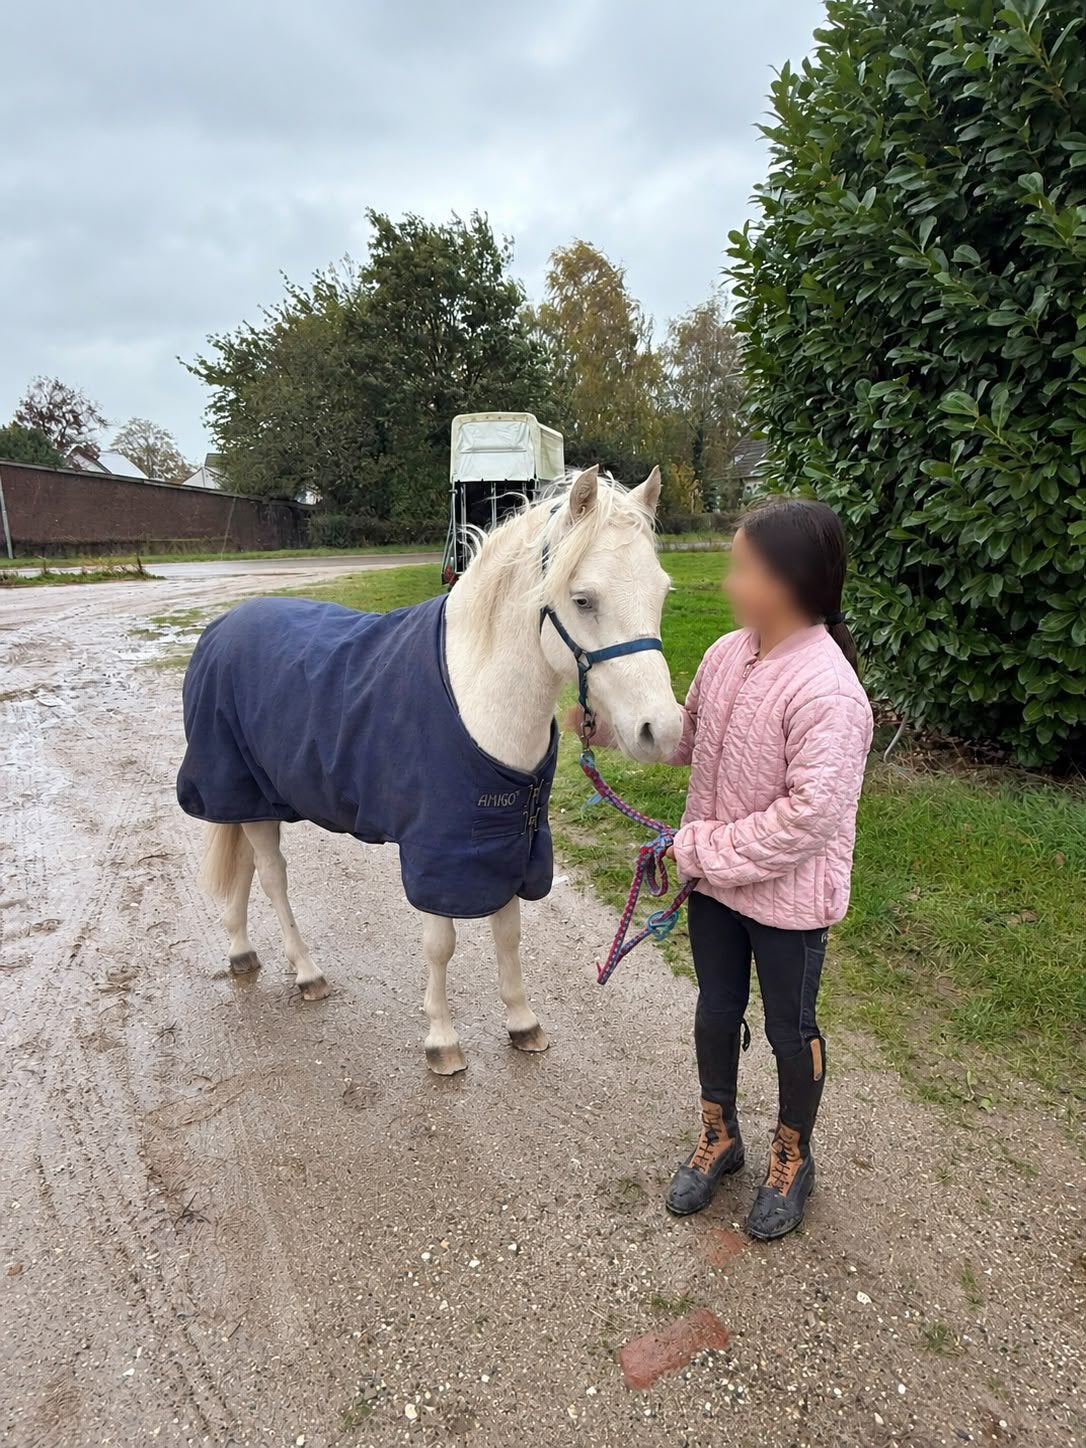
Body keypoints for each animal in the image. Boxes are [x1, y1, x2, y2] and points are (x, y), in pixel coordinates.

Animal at [178, 465, 683, 1074]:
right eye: (583, 599)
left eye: (661, 592)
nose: (664, 731)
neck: (475, 699)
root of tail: (219, 629)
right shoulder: (436, 852)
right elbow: (441, 945)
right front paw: (442, 1039)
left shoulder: (510, 844)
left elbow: (508, 934)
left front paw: (523, 1023)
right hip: (249, 798)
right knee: (273, 877)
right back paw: (306, 972)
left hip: (258, 799)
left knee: (248, 868)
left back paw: (240, 951)